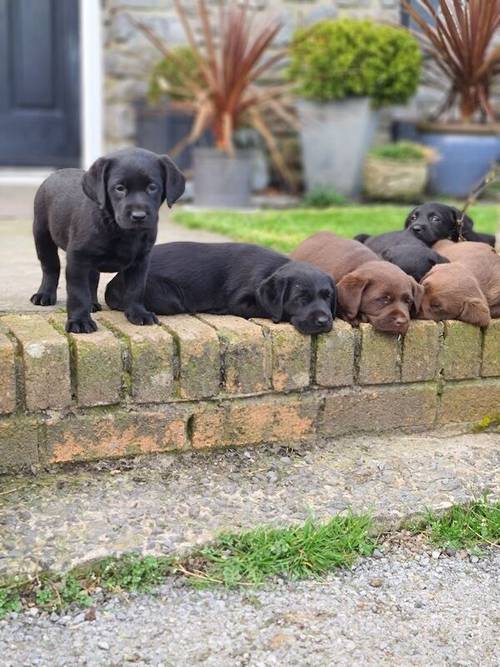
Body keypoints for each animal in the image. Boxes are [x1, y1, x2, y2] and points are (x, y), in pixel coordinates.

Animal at [30, 147, 186, 332]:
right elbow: (78, 292)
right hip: (42, 234)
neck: (119, 229)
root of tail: (56, 173)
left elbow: (136, 288)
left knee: (92, 277)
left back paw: (92, 303)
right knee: (50, 267)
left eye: (152, 187)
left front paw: (138, 313)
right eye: (119, 188)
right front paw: (80, 321)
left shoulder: (141, 260)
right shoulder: (77, 258)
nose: (138, 216)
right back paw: (44, 295)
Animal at [104, 241, 336, 336]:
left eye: (327, 296)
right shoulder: (239, 301)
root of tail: (114, 282)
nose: (324, 321)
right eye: (301, 298)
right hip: (169, 297)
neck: (272, 269)